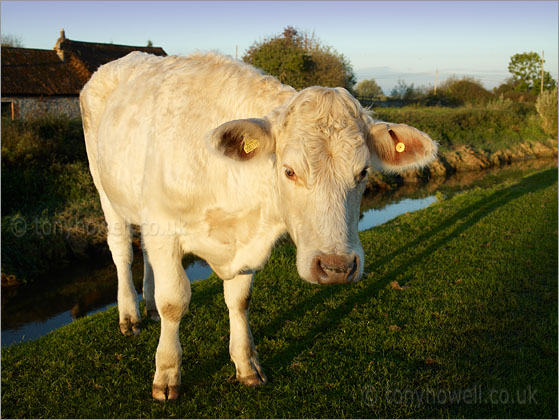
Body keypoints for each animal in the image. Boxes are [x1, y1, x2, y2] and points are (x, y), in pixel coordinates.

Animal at [80, 52, 438, 400]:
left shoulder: (240, 244)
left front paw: (246, 365)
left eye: (363, 172)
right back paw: (130, 315)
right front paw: (167, 374)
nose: (336, 266)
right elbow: (174, 302)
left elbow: (240, 300)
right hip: (104, 189)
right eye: (289, 170)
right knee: (122, 251)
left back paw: (149, 306)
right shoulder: (163, 226)